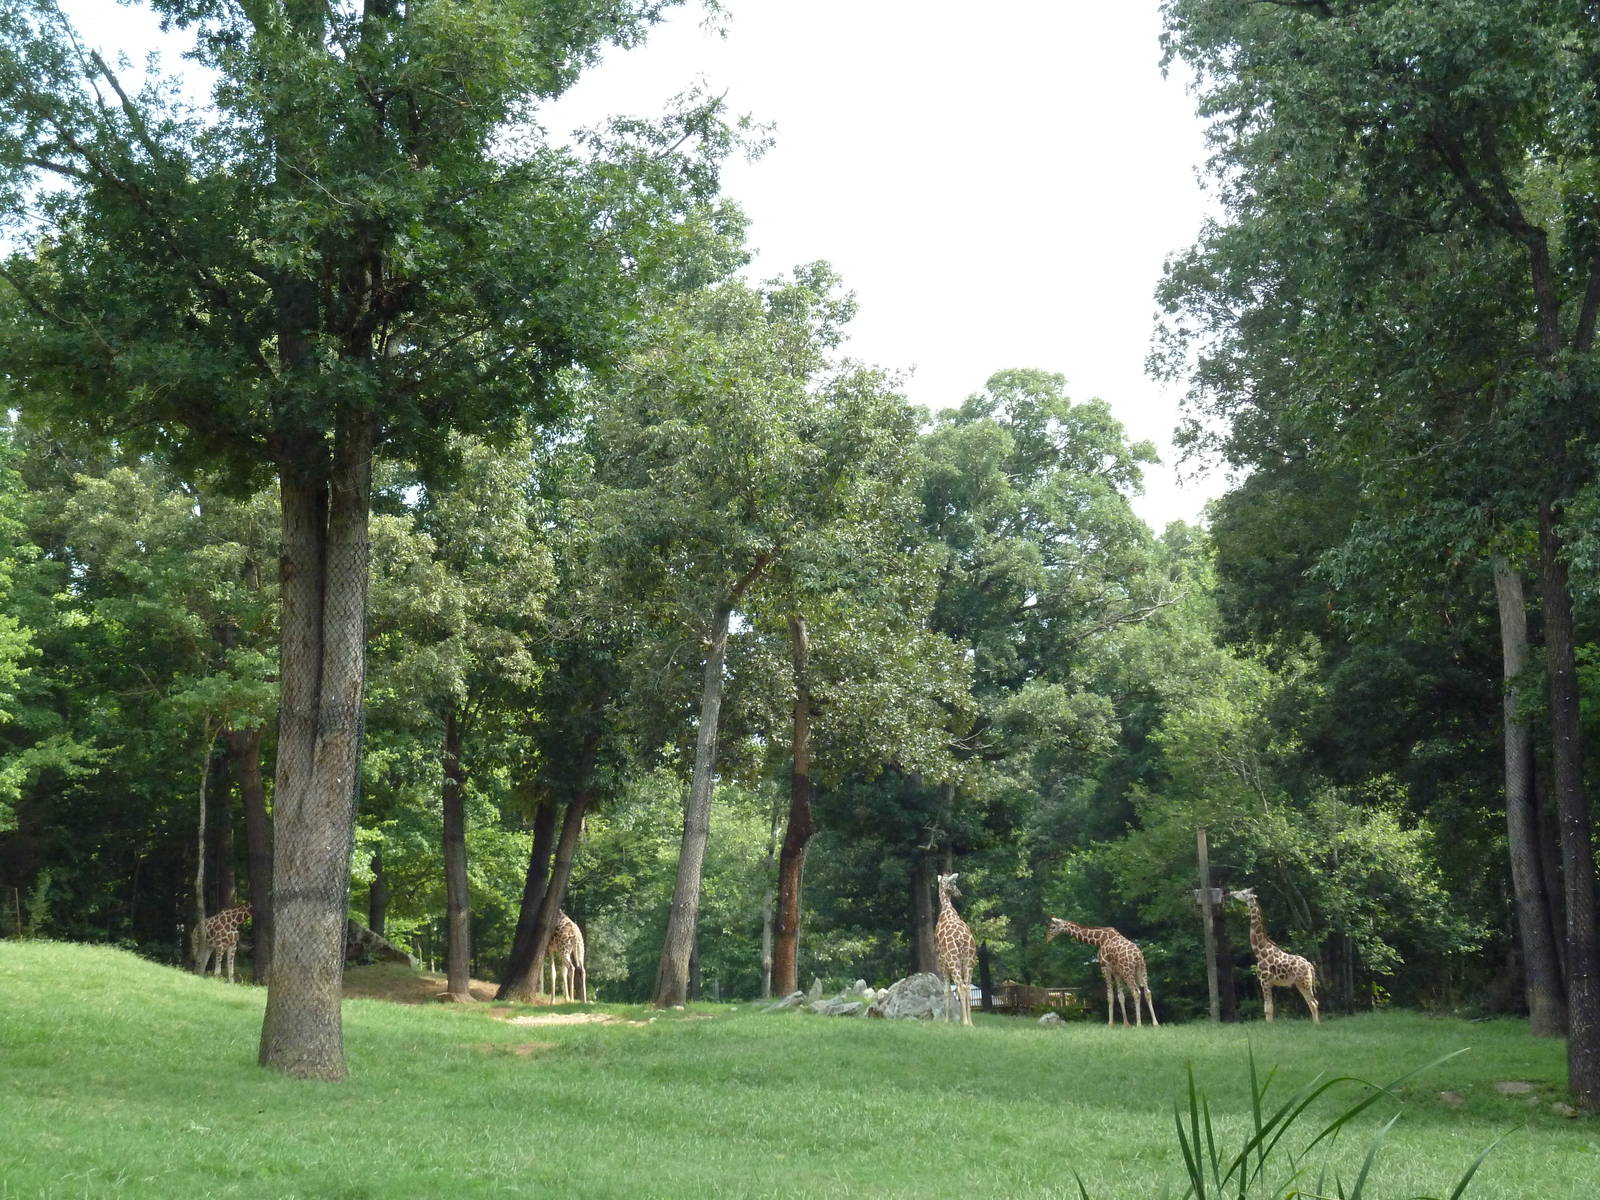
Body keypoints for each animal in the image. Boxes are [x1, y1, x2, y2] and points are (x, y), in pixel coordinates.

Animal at [934, 873, 978, 1026]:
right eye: (954, 883)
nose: (959, 893)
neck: (947, 910)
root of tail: (962, 941)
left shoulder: (942, 963)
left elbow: (946, 990)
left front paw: (946, 1021)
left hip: (953, 961)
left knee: (960, 986)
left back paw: (964, 1022)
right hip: (969, 960)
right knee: (967, 986)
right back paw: (970, 1023)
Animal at [1230, 887, 1319, 1023]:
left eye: (1243, 893)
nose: (1231, 893)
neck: (1259, 951)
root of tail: (1310, 966)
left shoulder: (1264, 980)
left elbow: (1268, 1008)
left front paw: (1269, 1025)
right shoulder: (1270, 983)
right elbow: (1270, 1007)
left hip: (1303, 982)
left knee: (1313, 1003)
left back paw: (1316, 1024)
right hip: (1302, 983)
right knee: (1312, 1002)